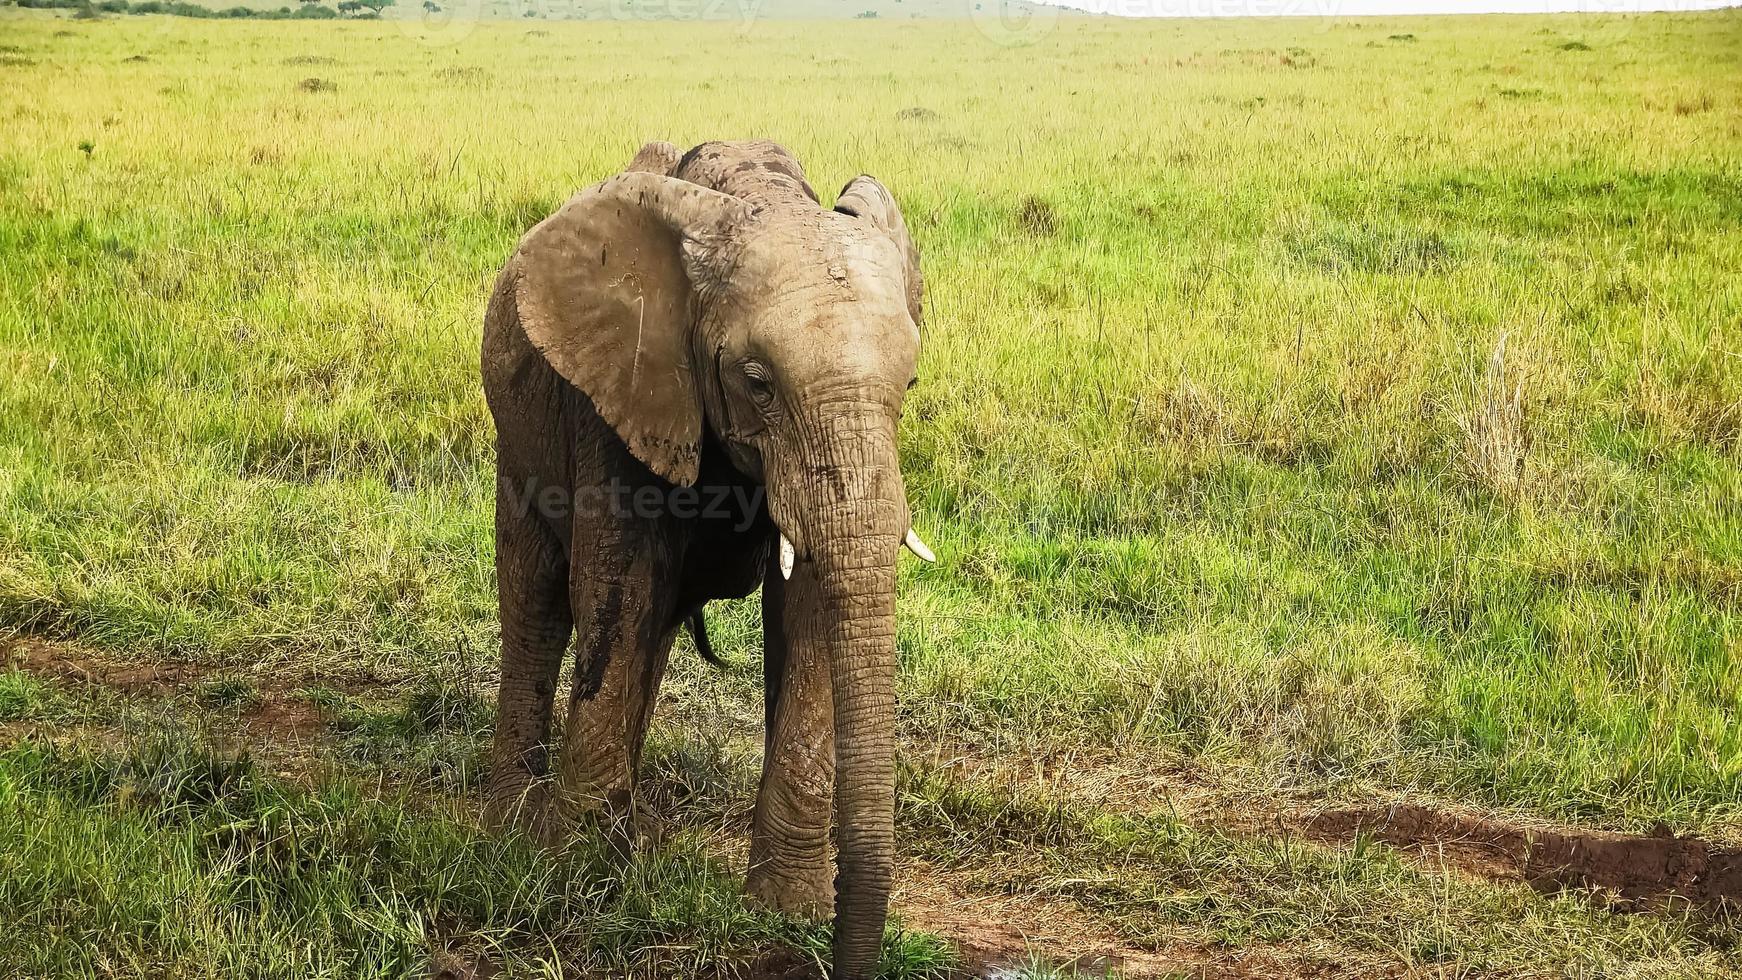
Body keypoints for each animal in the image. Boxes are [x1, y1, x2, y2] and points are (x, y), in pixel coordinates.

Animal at [477, 140, 940, 980]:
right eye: (756, 381)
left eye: (911, 382)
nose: (840, 961)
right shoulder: (621, 389)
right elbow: (618, 587)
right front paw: (581, 876)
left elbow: (809, 615)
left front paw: (783, 911)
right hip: (518, 435)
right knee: (537, 604)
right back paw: (517, 824)